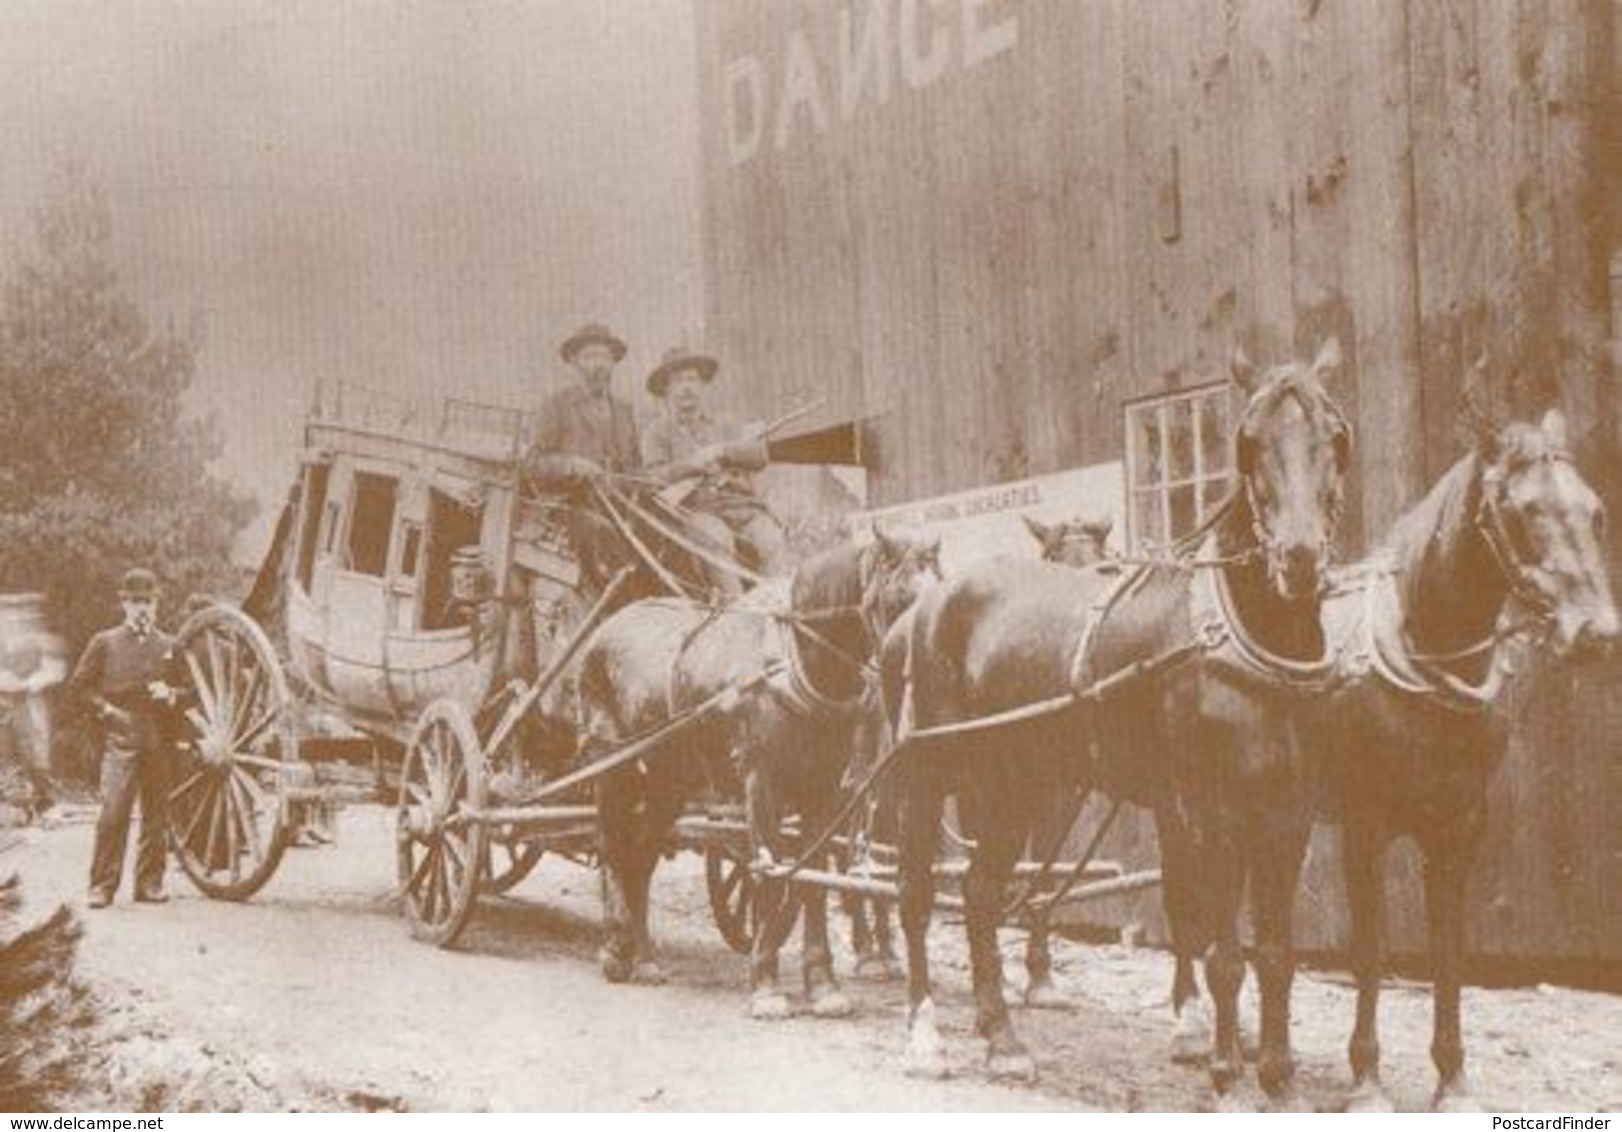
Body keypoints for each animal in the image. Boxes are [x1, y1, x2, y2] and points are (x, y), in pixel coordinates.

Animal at [577, 528, 947, 1011]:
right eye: (900, 597)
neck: (796, 666)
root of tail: (606, 627)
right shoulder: (760, 782)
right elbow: (767, 875)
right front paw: (766, 985)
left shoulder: (823, 791)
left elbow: (811, 881)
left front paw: (822, 983)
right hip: (612, 766)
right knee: (612, 844)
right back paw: (616, 948)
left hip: (667, 781)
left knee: (641, 854)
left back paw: (643, 957)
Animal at [882, 338, 1349, 1096]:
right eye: (1248, 441)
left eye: (1334, 436)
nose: (1300, 558)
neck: (1241, 638)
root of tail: (925, 608)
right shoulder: (1206, 808)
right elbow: (1219, 944)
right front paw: (1223, 1066)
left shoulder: (1287, 811)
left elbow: (1274, 951)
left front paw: (1277, 1073)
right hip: (931, 774)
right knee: (917, 892)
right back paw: (925, 1034)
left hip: (1012, 783)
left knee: (980, 893)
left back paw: (1002, 1039)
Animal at [1323, 400, 1615, 1109]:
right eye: (1524, 509)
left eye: (1594, 510)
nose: (1596, 633)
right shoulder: (1365, 826)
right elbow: (1371, 945)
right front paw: (1366, 1080)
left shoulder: (1458, 829)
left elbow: (1449, 950)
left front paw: (1452, 1080)